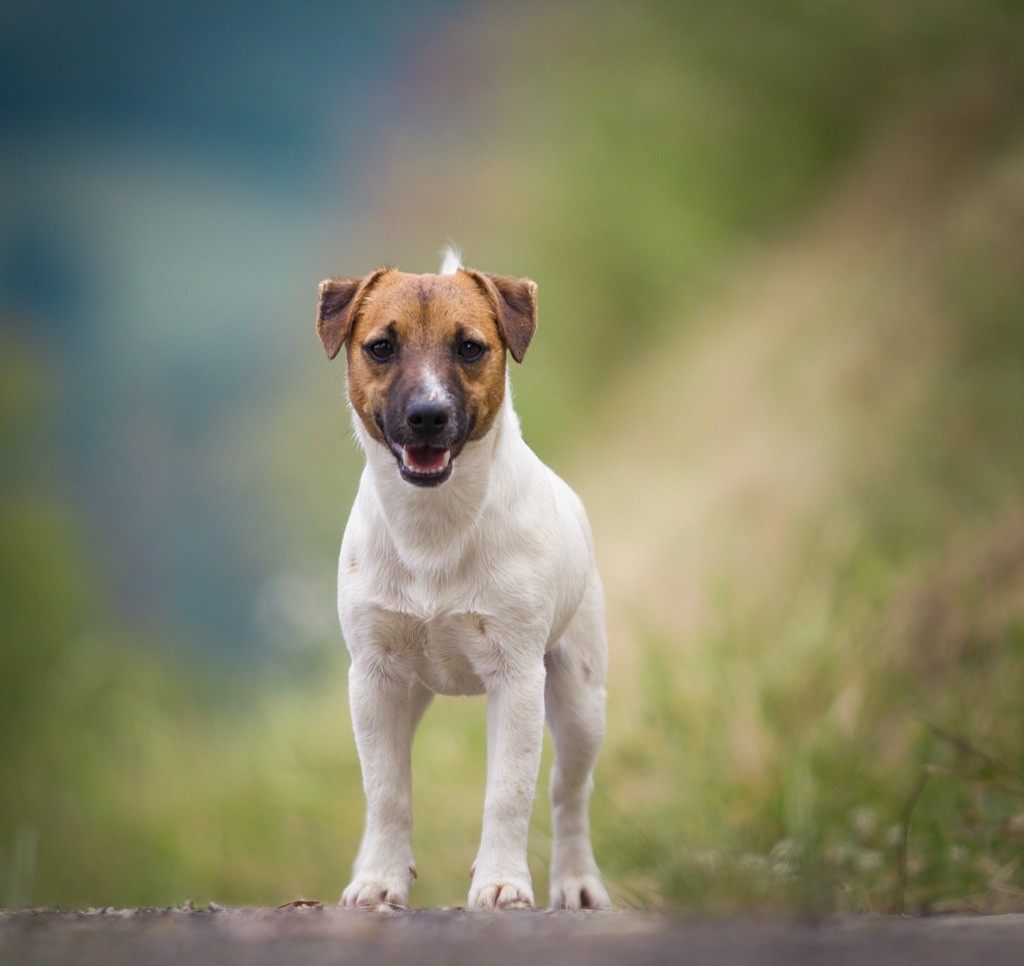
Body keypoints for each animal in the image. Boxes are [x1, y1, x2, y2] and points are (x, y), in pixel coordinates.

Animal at [315, 245, 610, 909]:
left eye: (471, 347)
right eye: (381, 347)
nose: (428, 415)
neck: (435, 531)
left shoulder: (517, 677)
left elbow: (510, 793)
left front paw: (502, 883)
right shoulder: (374, 679)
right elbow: (386, 791)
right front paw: (379, 880)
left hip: (580, 699)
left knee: (569, 793)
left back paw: (576, 882)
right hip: (411, 693)